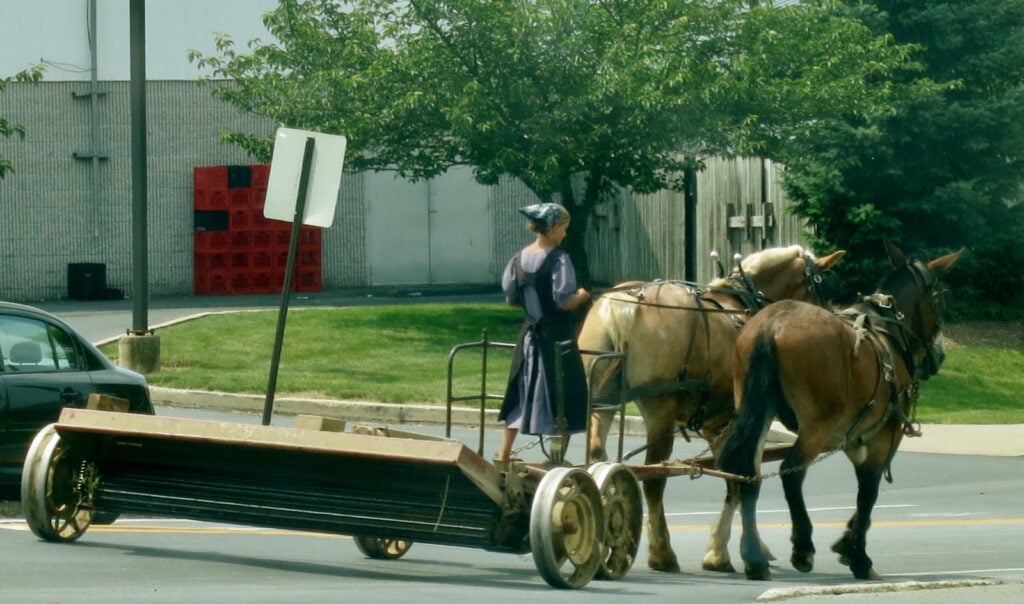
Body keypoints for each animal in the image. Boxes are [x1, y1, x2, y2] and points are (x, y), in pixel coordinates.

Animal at [581, 244, 843, 573]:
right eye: (820, 286)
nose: (828, 322)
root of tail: (628, 302)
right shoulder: (742, 419)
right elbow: (744, 477)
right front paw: (732, 551)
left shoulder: (715, 422)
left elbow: (732, 476)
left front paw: (732, 549)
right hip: (660, 409)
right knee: (653, 479)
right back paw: (662, 553)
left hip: (600, 402)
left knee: (597, 459)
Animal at [720, 243, 958, 585]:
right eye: (940, 298)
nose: (939, 354)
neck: (888, 328)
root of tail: (772, 325)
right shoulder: (883, 436)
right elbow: (868, 492)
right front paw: (859, 557)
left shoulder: (853, 437)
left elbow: (864, 494)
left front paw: (848, 545)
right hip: (816, 425)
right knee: (791, 472)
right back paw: (802, 547)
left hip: (756, 409)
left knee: (747, 471)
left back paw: (754, 557)